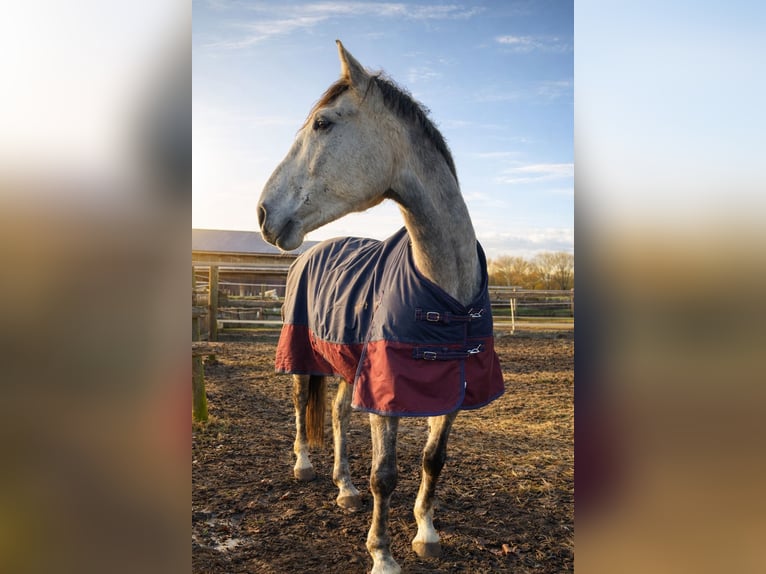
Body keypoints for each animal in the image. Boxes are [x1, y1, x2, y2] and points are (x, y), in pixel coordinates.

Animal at [257, 40, 504, 574]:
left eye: (322, 123)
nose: (264, 213)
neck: (446, 290)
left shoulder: (450, 389)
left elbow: (433, 459)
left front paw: (426, 533)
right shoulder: (384, 393)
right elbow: (385, 475)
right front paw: (382, 555)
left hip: (349, 366)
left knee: (336, 413)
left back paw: (345, 489)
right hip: (301, 353)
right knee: (301, 404)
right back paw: (305, 466)